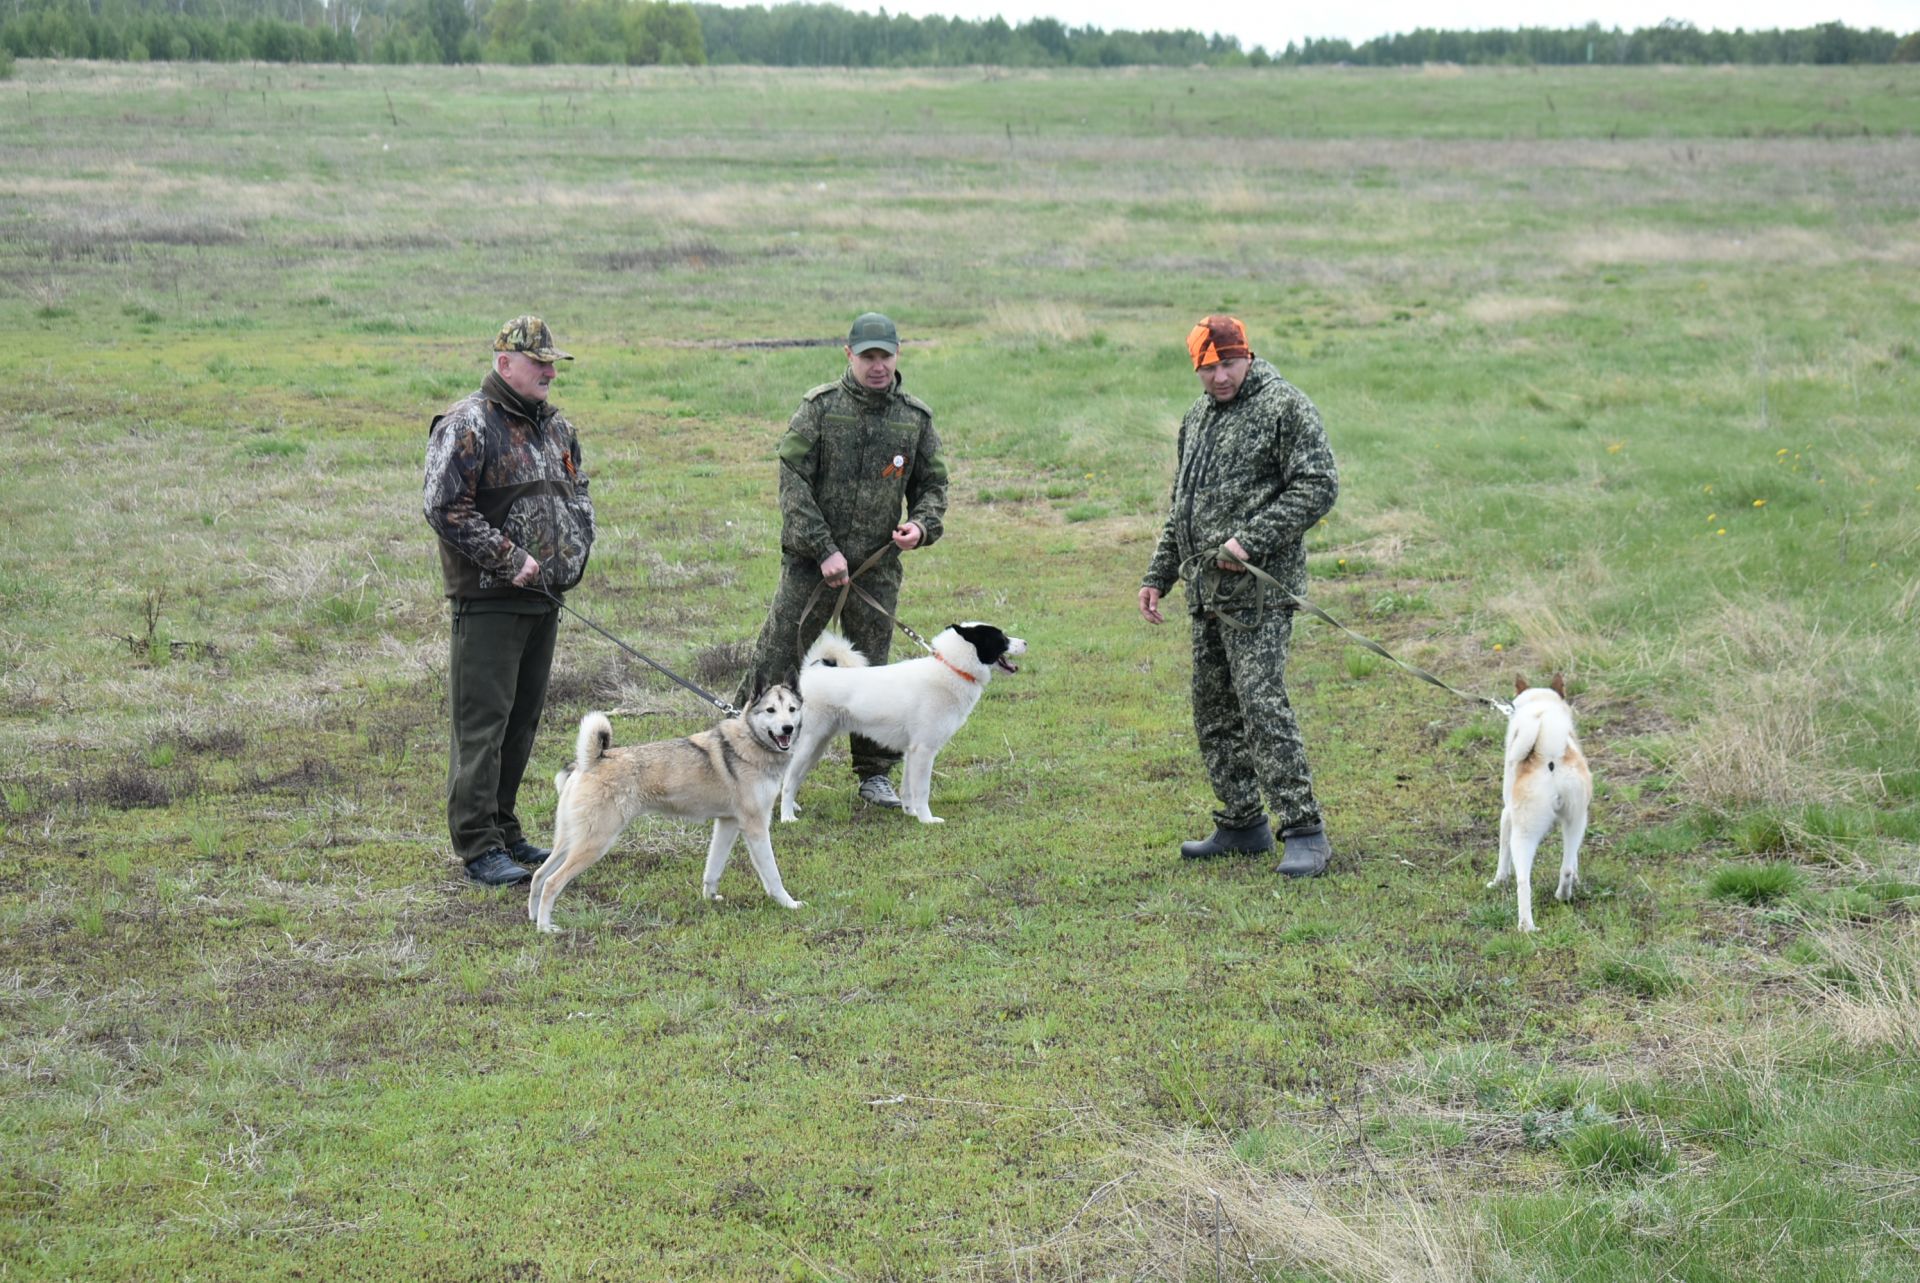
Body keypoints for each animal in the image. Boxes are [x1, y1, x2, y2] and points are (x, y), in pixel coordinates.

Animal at [1482, 672, 1589, 933]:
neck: (1541, 704)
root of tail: (1550, 757)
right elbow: (1574, 862)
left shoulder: (1507, 816)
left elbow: (1502, 857)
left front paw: (1498, 881)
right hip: (1576, 821)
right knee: (1567, 867)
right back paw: (1563, 895)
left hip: (1524, 834)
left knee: (1523, 882)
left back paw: (1526, 926)